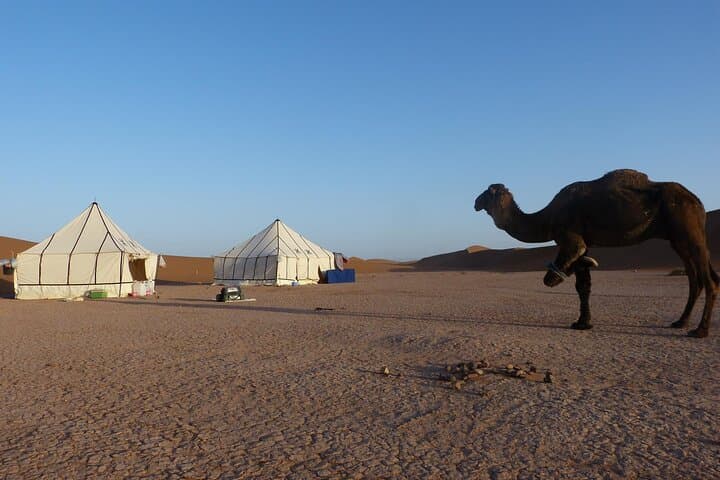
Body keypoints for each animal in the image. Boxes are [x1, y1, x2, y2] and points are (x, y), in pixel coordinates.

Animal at [474, 169, 718, 337]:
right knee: (695, 278)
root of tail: (697, 201)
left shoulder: (571, 239)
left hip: (689, 230)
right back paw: (680, 322)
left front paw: (580, 318)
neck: (547, 217)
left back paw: (700, 331)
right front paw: (583, 323)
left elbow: (570, 273)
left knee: (709, 280)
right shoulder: (586, 243)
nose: (475, 202)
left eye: (486, 192)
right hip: (678, 239)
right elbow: (583, 285)